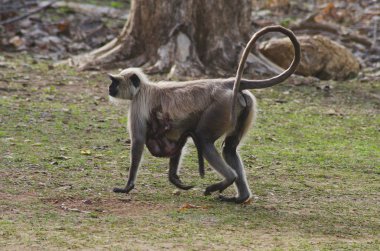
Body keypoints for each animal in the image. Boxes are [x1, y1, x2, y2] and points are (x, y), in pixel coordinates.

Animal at [108, 25, 302, 203]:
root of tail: (227, 83)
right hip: (242, 107)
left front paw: (128, 186)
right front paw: (175, 179)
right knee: (229, 148)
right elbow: (177, 141)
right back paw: (241, 197)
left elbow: (138, 141)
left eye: (115, 82)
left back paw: (228, 180)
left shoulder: (137, 105)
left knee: (203, 139)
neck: (144, 88)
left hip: (220, 108)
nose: (109, 88)